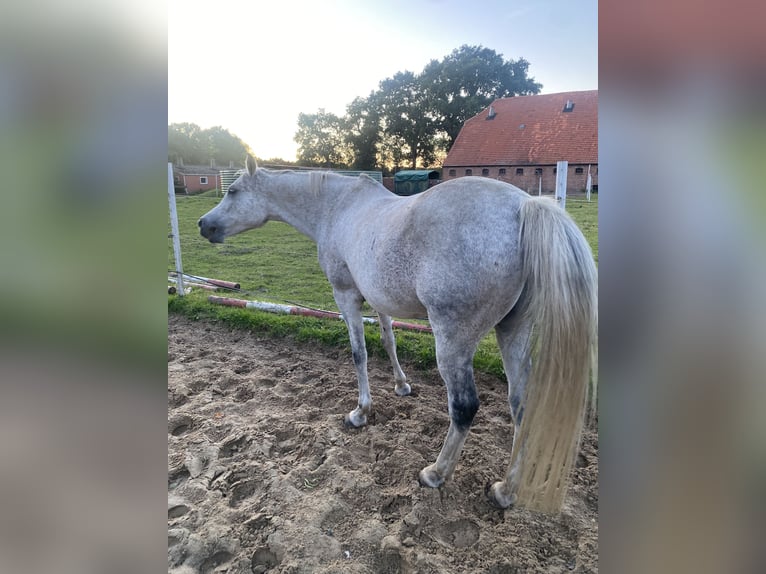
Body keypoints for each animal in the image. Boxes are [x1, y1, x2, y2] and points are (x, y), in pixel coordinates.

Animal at [198, 156, 597, 513]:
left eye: (232, 191)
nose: (204, 225)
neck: (337, 207)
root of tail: (523, 206)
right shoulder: (378, 299)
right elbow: (388, 340)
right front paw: (401, 385)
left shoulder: (346, 295)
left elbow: (359, 353)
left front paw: (360, 412)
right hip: (513, 331)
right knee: (522, 405)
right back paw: (505, 491)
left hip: (453, 342)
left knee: (464, 407)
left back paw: (436, 473)